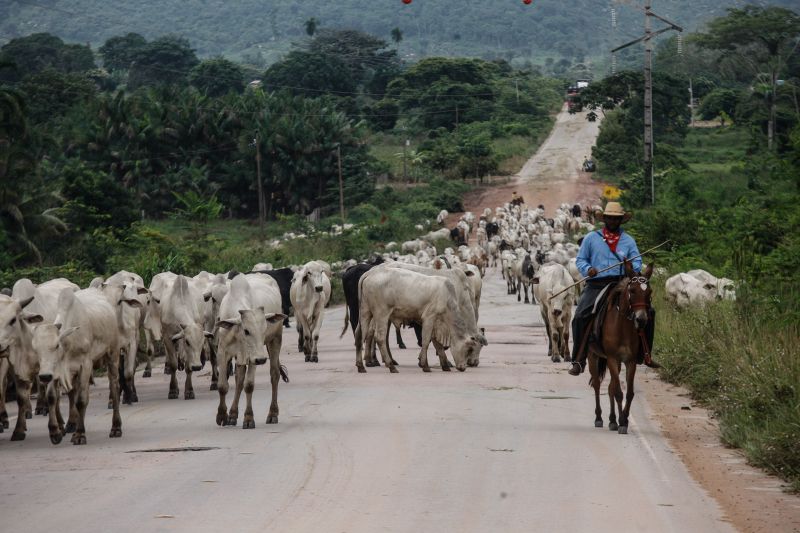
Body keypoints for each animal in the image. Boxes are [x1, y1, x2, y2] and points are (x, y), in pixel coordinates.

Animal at [584, 260, 652, 434]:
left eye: (649, 292)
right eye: (632, 291)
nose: (641, 319)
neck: (622, 327)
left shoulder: (630, 361)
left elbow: (628, 393)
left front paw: (624, 420)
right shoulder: (612, 358)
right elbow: (619, 393)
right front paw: (621, 422)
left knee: (610, 387)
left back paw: (612, 420)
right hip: (593, 356)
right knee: (597, 384)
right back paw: (599, 418)